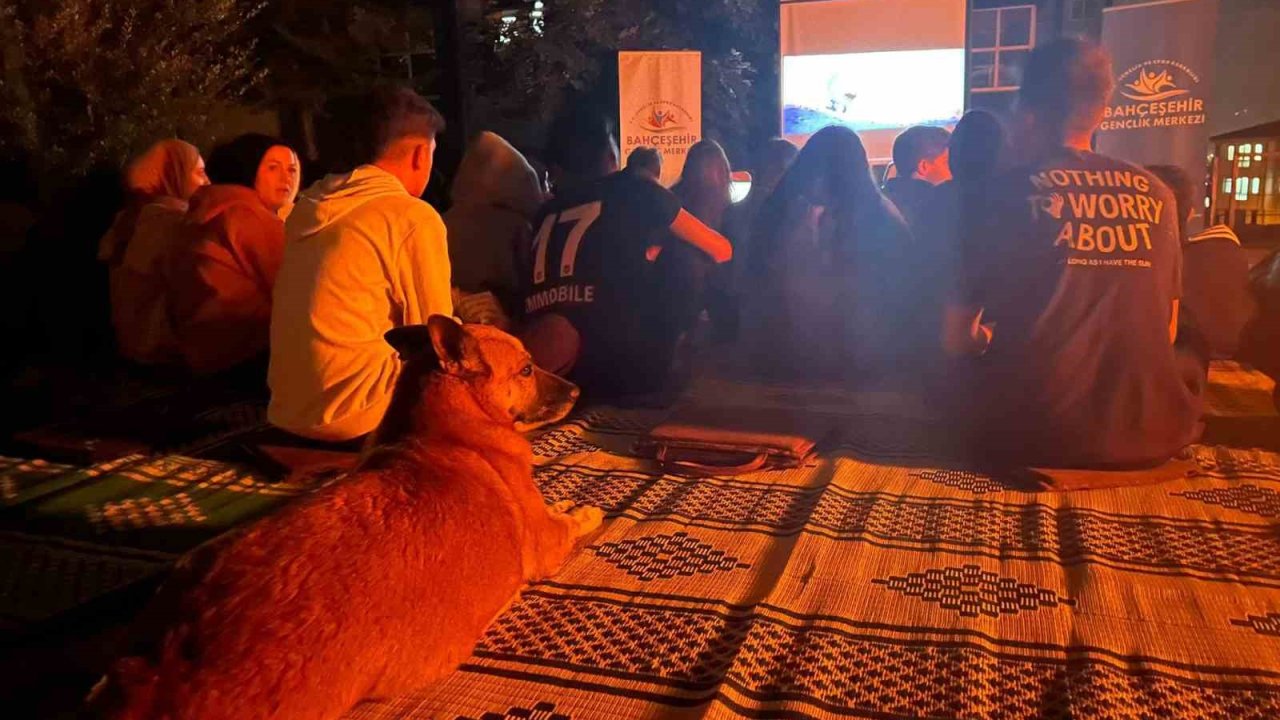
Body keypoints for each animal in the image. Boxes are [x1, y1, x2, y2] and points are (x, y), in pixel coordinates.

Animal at [92, 316, 601, 712]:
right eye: (527, 368)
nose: (580, 389)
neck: (443, 429)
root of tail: (169, 663)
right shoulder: (547, 541)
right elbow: (570, 517)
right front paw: (583, 508)